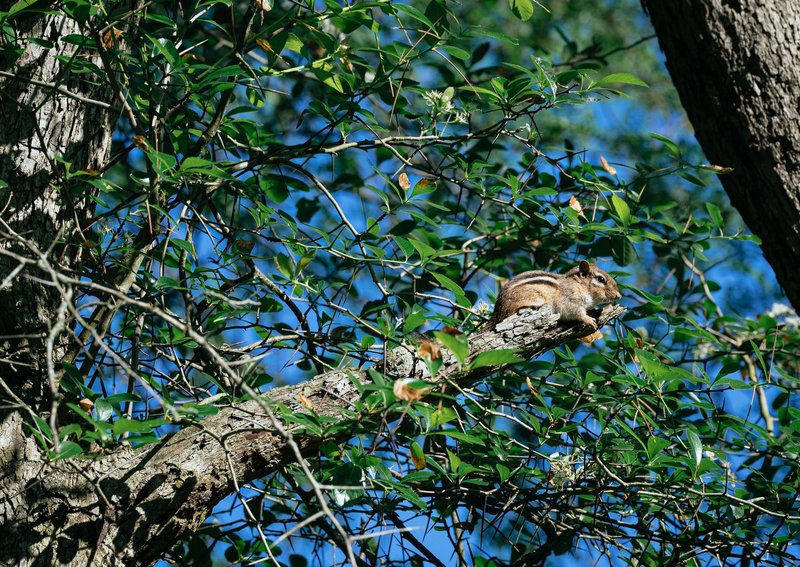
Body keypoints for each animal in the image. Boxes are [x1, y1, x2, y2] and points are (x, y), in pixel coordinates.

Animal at [490, 260, 621, 329]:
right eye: (601, 279)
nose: (618, 296)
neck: (579, 285)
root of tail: (497, 313)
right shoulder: (570, 299)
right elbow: (576, 312)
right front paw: (588, 319)